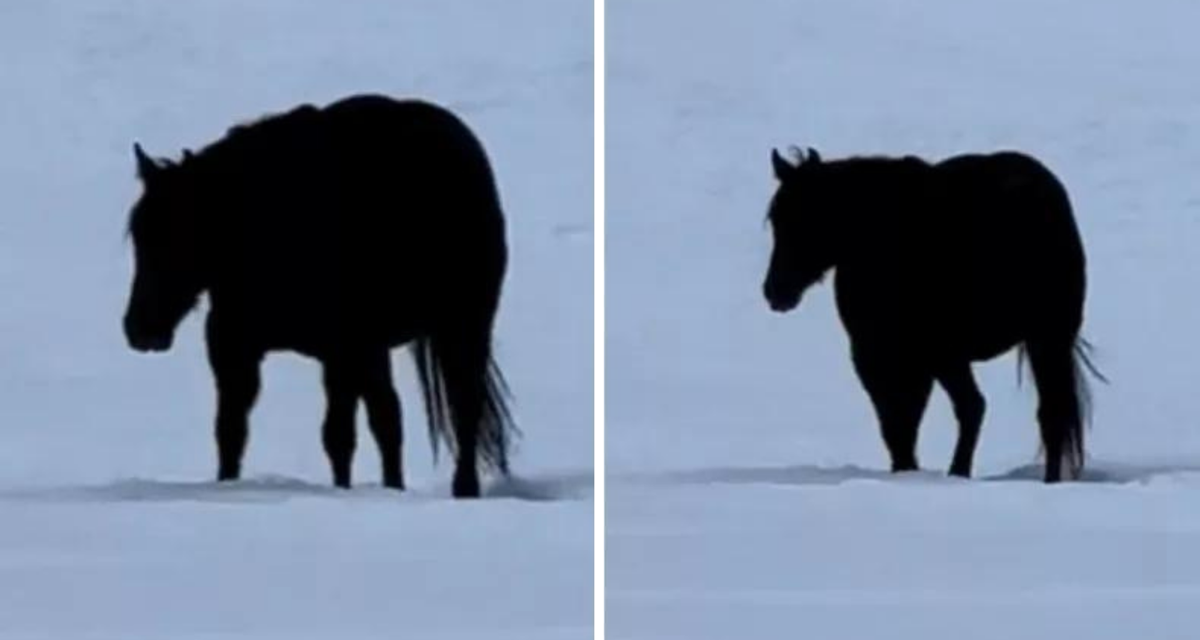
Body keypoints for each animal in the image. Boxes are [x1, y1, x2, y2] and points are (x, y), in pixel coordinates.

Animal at [121, 94, 520, 497]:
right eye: (138, 234)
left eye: (181, 235)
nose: (140, 329)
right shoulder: (235, 348)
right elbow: (230, 431)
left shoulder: (342, 352)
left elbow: (338, 436)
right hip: (379, 350)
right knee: (389, 419)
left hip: (462, 327)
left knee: (463, 408)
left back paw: (463, 488)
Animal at [763, 147, 1099, 482]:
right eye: (775, 219)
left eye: (802, 217)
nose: (774, 291)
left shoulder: (880, 357)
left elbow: (896, 423)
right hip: (1044, 340)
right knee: (1046, 414)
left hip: (958, 353)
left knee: (976, 407)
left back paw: (960, 472)